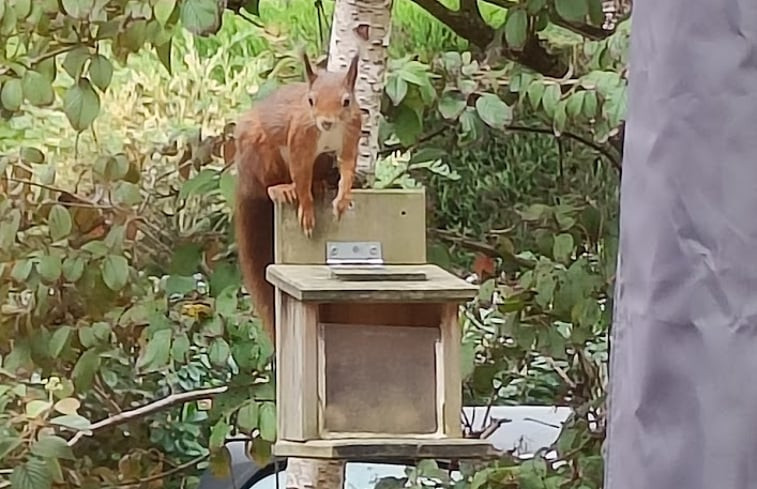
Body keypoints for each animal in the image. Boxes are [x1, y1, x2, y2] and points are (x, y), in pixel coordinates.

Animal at [233, 54, 360, 340]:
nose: (326, 122)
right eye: (310, 100)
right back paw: (280, 189)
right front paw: (307, 213)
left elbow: (347, 168)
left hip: (321, 161)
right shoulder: (300, 140)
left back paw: (320, 185)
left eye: (346, 101)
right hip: (260, 154)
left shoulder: (351, 134)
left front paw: (342, 200)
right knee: (266, 186)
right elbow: (300, 176)